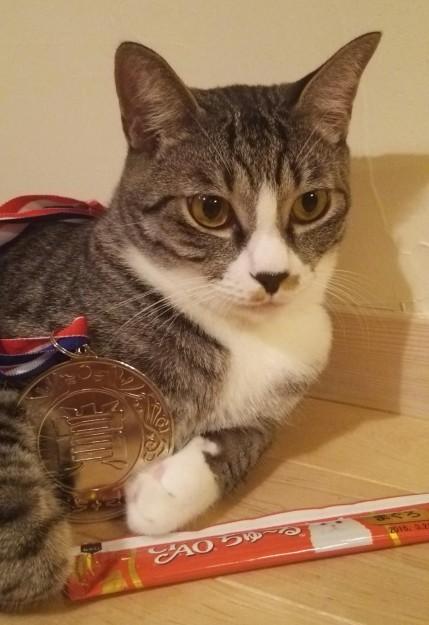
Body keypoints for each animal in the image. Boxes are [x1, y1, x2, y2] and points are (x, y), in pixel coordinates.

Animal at [0, 32, 380, 609]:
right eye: (210, 210)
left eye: (311, 203)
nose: (272, 276)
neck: (242, 335)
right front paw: (44, 561)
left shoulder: (285, 391)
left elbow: (250, 436)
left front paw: (164, 490)